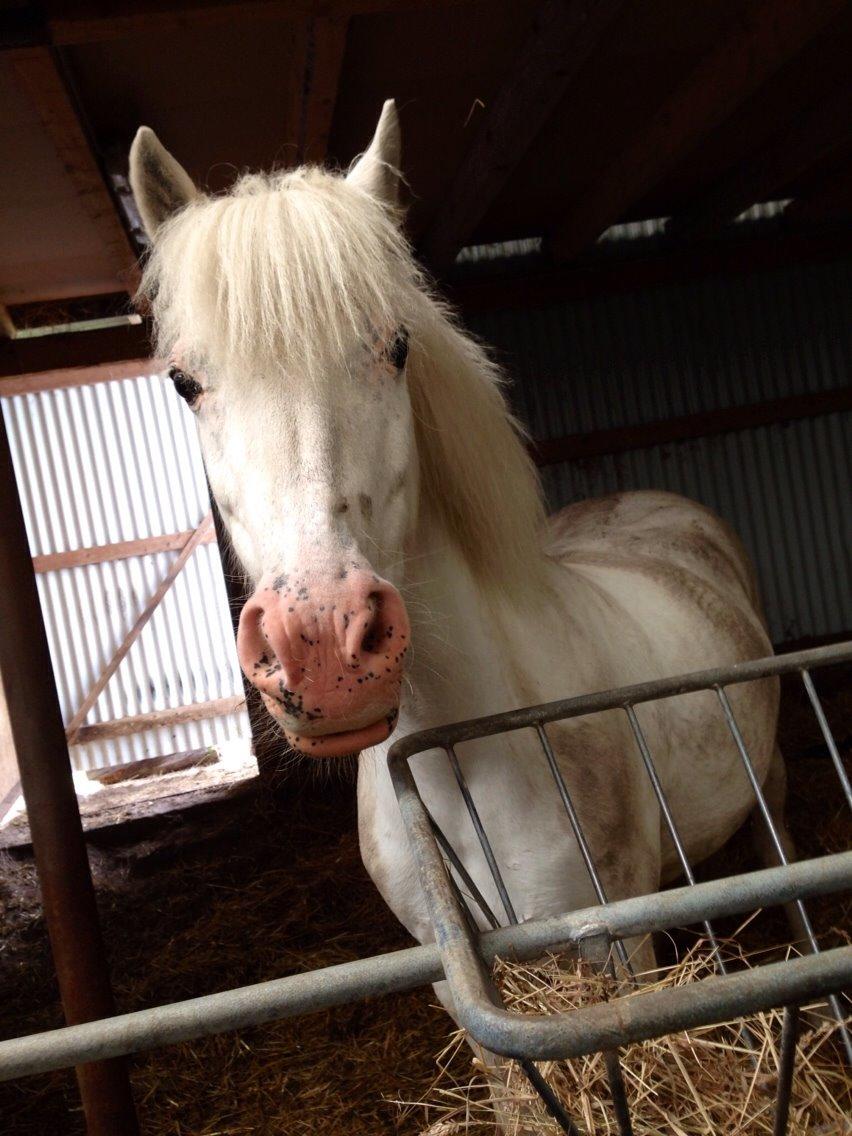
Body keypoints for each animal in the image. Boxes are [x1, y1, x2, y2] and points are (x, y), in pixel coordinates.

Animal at [130, 97, 786, 1013]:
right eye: (185, 383)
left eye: (397, 347)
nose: (320, 648)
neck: (463, 759)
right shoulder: (458, 984)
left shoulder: (621, 954)